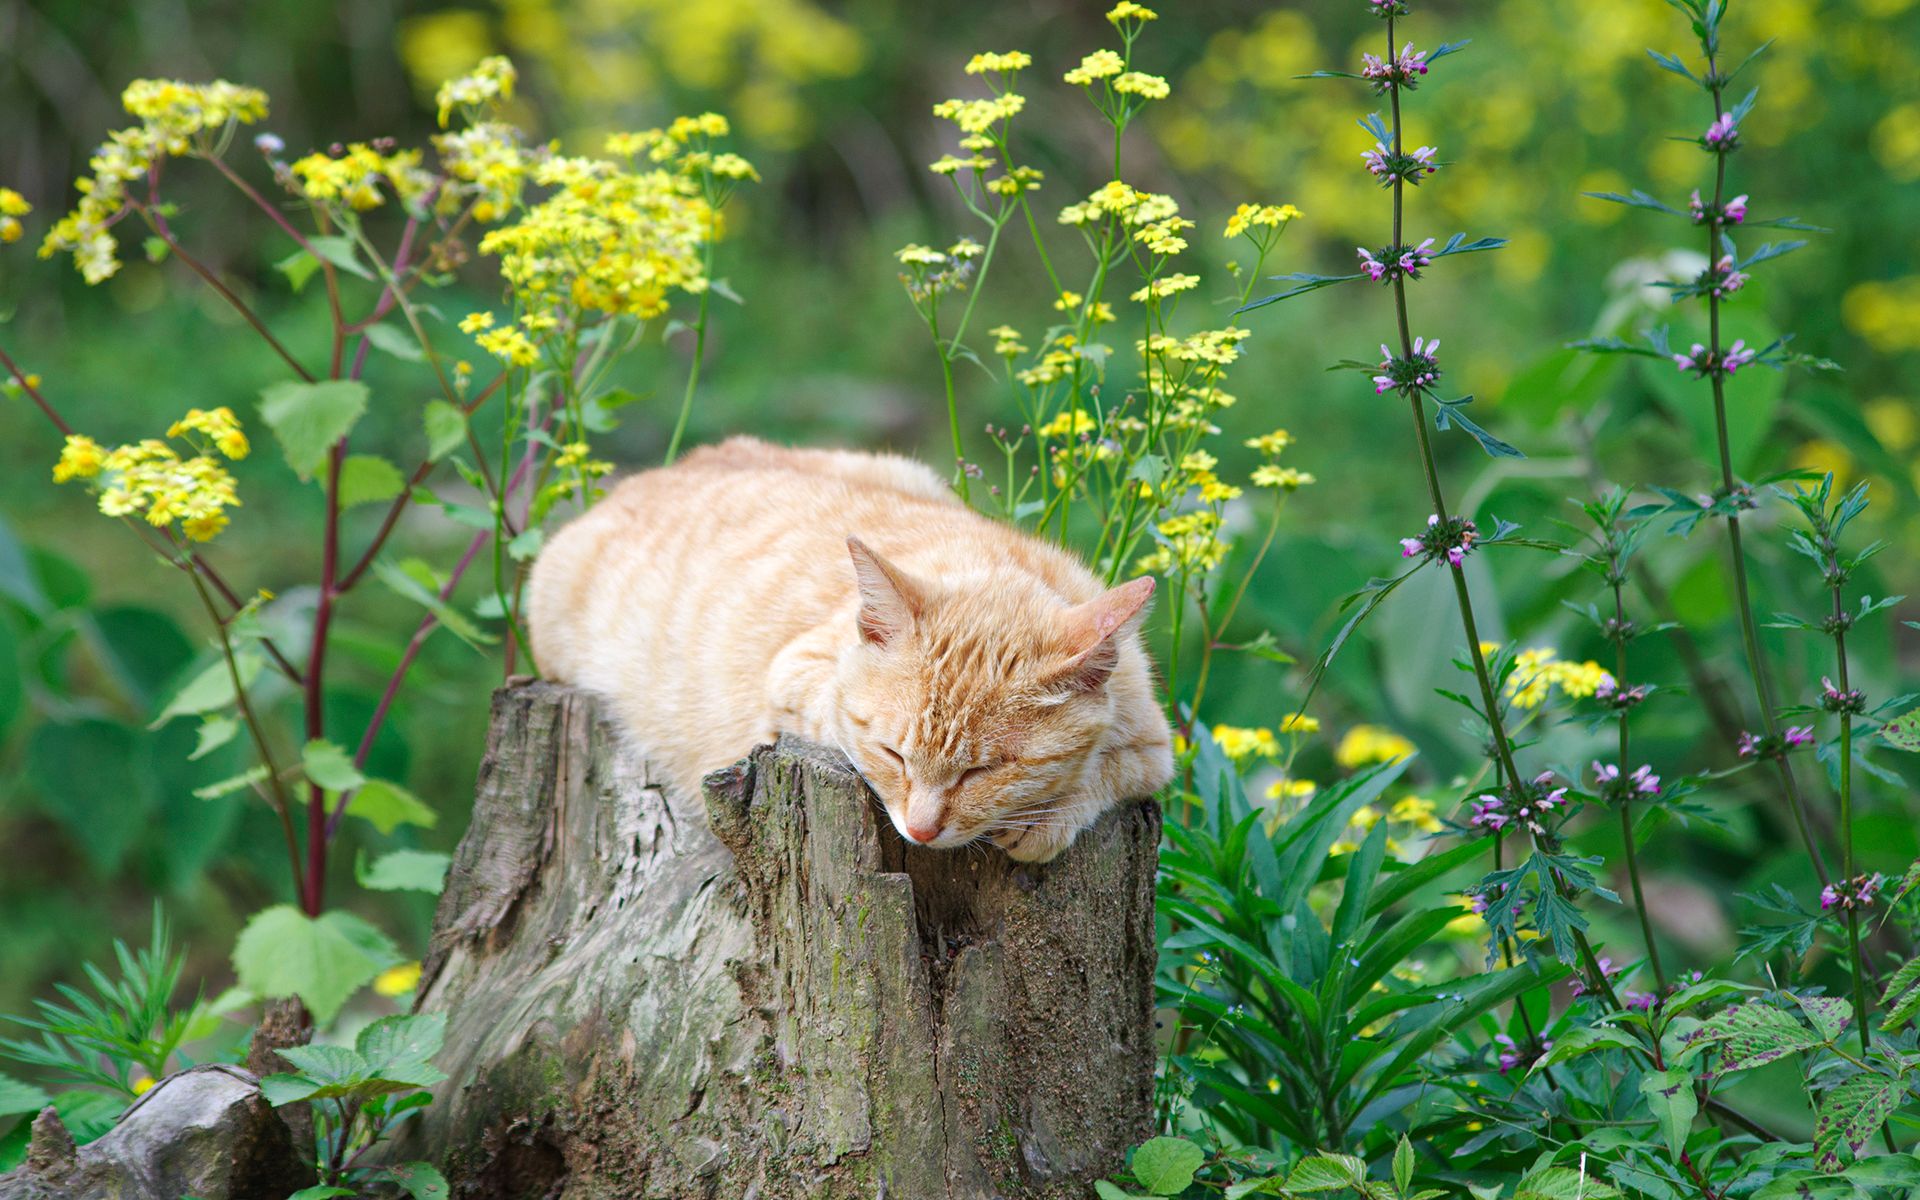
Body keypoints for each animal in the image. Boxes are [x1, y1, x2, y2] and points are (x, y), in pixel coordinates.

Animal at [533, 435, 1175, 856]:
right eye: (894, 755)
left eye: (983, 771)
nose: (921, 831)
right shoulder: (796, 675)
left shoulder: (1154, 746)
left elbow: (1109, 771)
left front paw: (1048, 817)